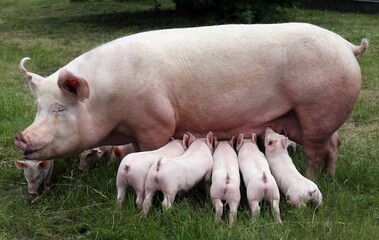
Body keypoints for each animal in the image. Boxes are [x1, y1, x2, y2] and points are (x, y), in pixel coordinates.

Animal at [14, 23, 368, 178]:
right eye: (38, 108)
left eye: (60, 108)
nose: (20, 136)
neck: (108, 102)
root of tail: (347, 46)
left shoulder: (155, 122)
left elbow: (149, 150)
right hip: (308, 119)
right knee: (333, 143)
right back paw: (330, 178)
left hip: (316, 109)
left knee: (317, 150)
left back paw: (314, 178)